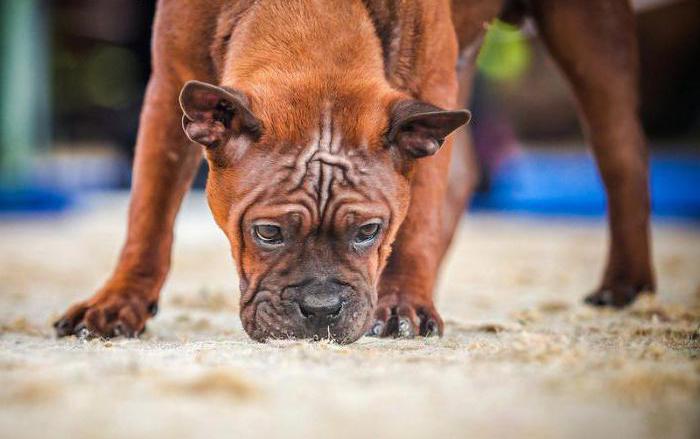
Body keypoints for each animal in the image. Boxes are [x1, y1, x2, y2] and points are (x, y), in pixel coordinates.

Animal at [54, 0, 656, 344]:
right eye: (266, 233)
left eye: (369, 231)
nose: (320, 310)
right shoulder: (165, 92)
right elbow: (148, 215)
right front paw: (118, 303)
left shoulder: (430, 86)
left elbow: (416, 224)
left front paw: (405, 302)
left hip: (589, 43)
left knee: (622, 154)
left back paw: (626, 283)